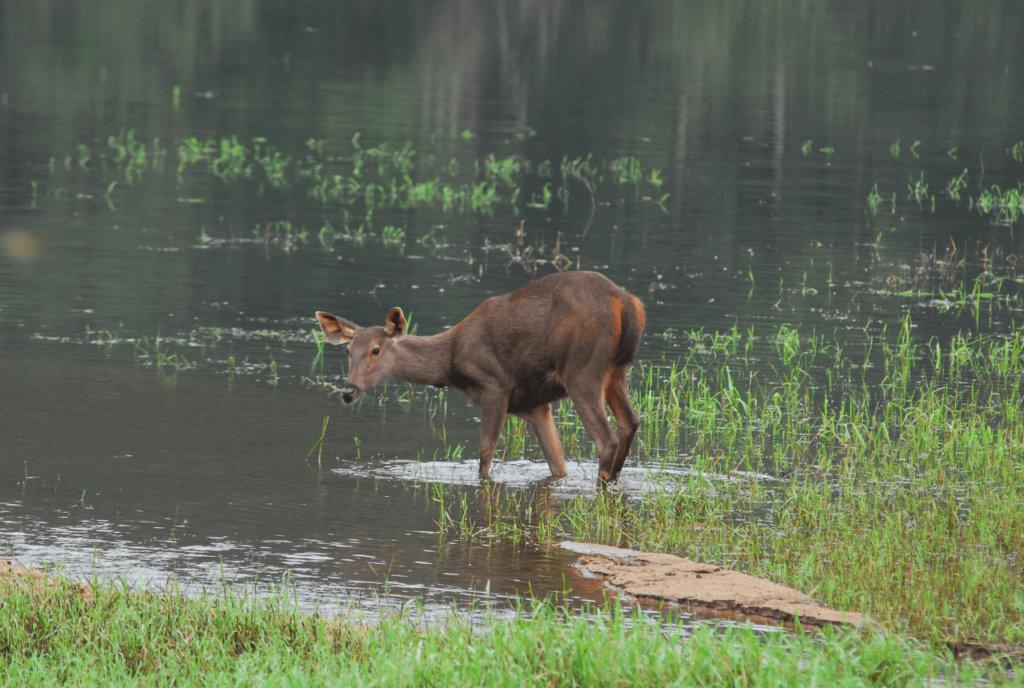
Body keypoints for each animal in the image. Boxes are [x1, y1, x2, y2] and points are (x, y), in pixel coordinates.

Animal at [315, 272, 643, 481]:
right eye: (348, 351)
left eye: (375, 350)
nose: (348, 391)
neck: (450, 364)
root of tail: (626, 302)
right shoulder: (535, 406)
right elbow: (557, 465)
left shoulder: (495, 386)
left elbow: (485, 454)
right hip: (618, 371)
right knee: (630, 422)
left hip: (581, 370)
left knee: (607, 440)